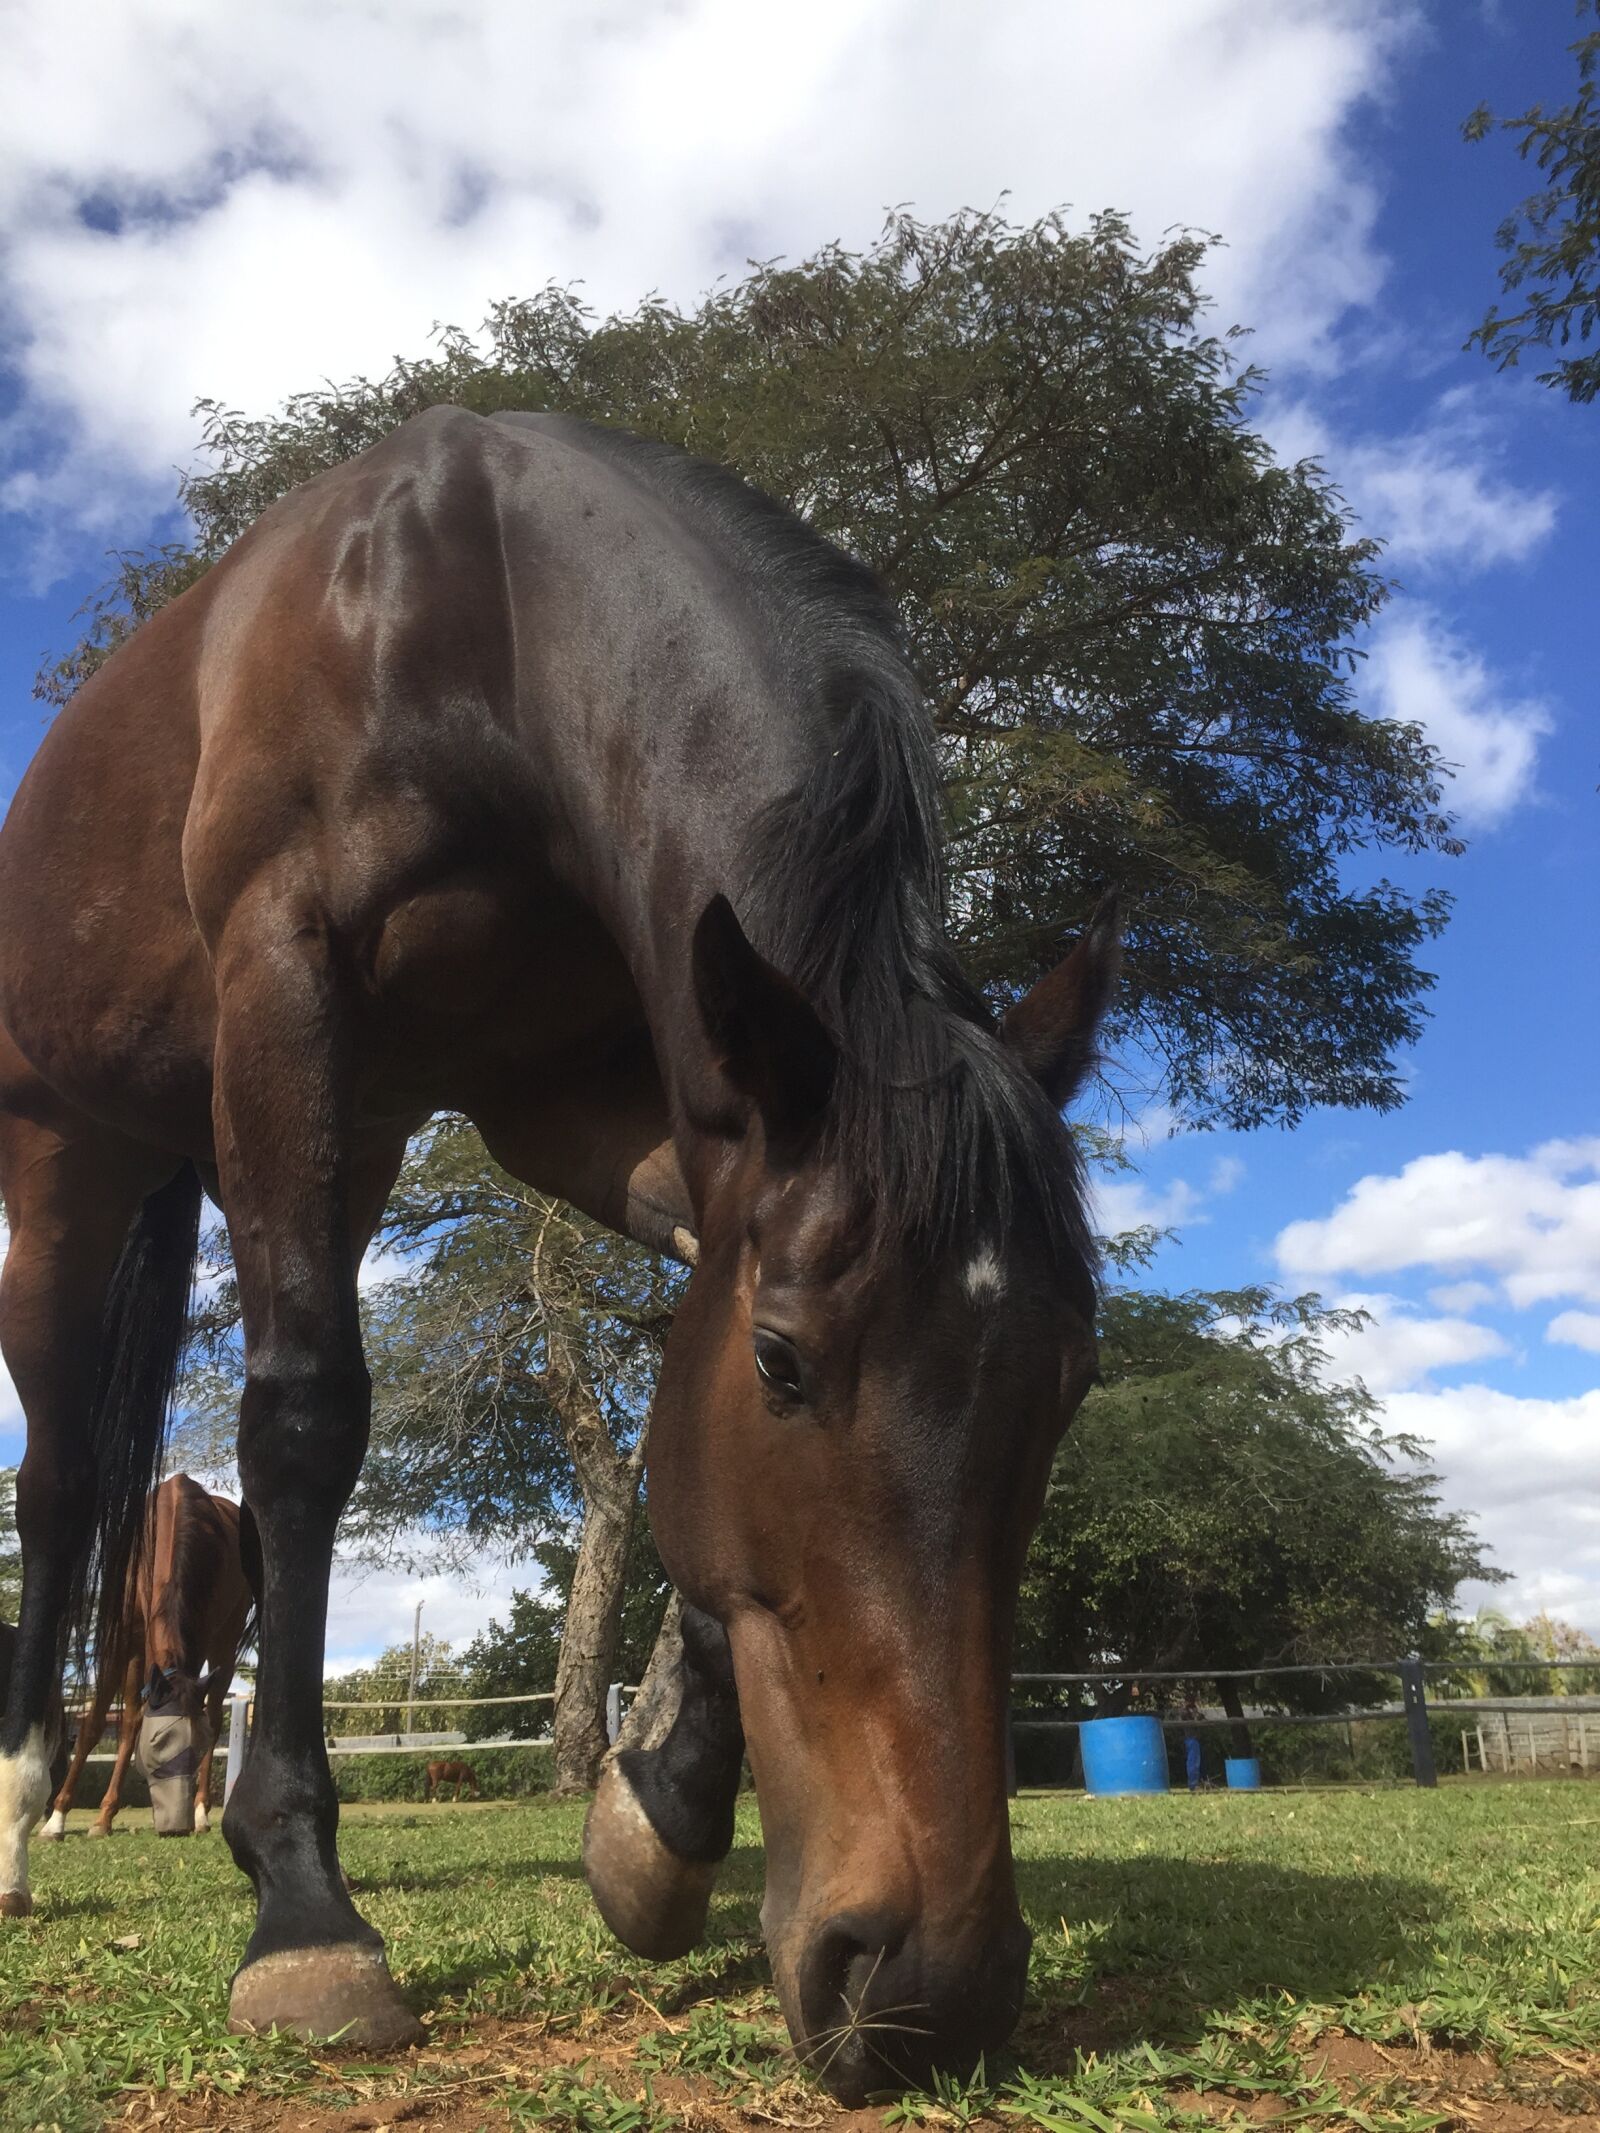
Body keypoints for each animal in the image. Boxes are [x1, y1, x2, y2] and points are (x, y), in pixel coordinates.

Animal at [39, 1474, 253, 1840]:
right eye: (157, 1745)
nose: (177, 1828)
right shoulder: (121, 1638)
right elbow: (99, 1725)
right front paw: (60, 1818)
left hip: (225, 1641)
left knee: (213, 1712)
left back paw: (201, 1812)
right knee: (129, 1721)